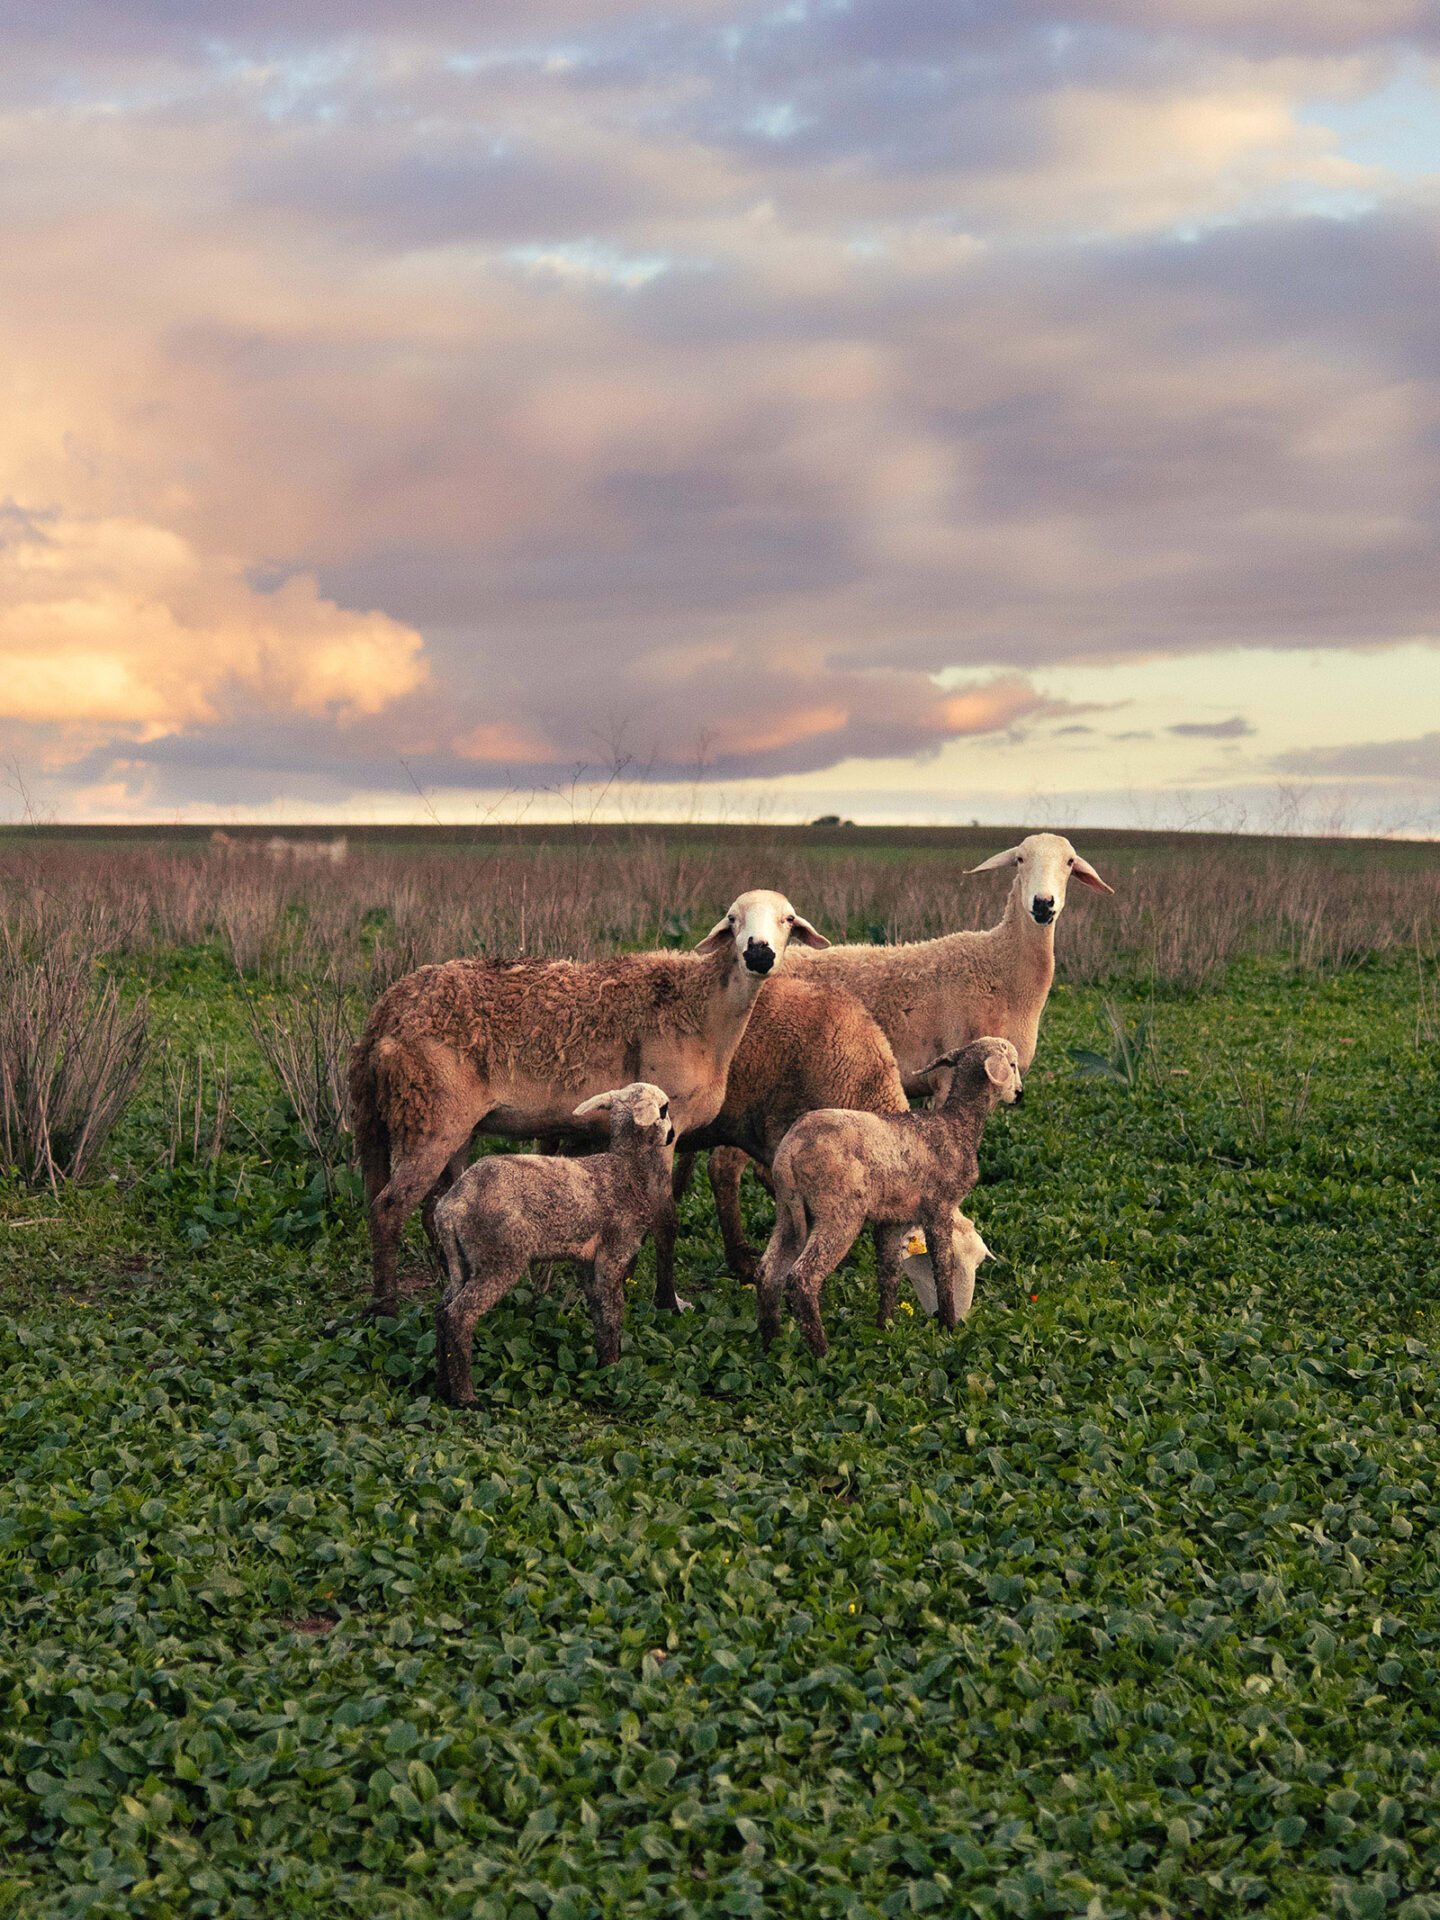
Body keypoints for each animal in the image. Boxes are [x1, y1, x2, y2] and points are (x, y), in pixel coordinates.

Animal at [348, 889, 828, 1318]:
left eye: (788, 919)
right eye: (732, 918)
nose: (759, 953)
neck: (704, 1010)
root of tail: (388, 1007)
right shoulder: (665, 1126)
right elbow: (666, 1218)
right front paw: (667, 1301)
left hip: (450, 1125)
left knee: (436, 1205)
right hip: (431, 1114)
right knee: (389, 1209)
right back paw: (387, 1308)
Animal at [433, 1082, 676, 1404]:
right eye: (664, 1109)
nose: (673, 1135)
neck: (624, 1166)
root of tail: (452, 1205)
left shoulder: (587, 1263)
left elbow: (599, 1312)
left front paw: (603, 1368)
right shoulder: (615, 1252)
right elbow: (614, 1310)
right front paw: (614, 1368)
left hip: (461, 1258)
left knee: (442, 1310)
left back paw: (442, 1387)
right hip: (499, 1256)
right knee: (460, 1316)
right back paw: (465, 1397)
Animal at [756, 1036, 1023, 1357]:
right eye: (1012, 1065)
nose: (1019, 1095)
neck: (956, 1125)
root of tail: (791, 1149)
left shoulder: (891, 1220)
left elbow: (889, 1273)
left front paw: (885, 1329)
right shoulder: (939, 1208)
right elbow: (942, 1268)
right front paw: (948, 1326)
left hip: (788, 1210)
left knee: (768, 1271)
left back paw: (771, 1343)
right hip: (838, 1211)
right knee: (803, 1277)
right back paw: (822, 1352)